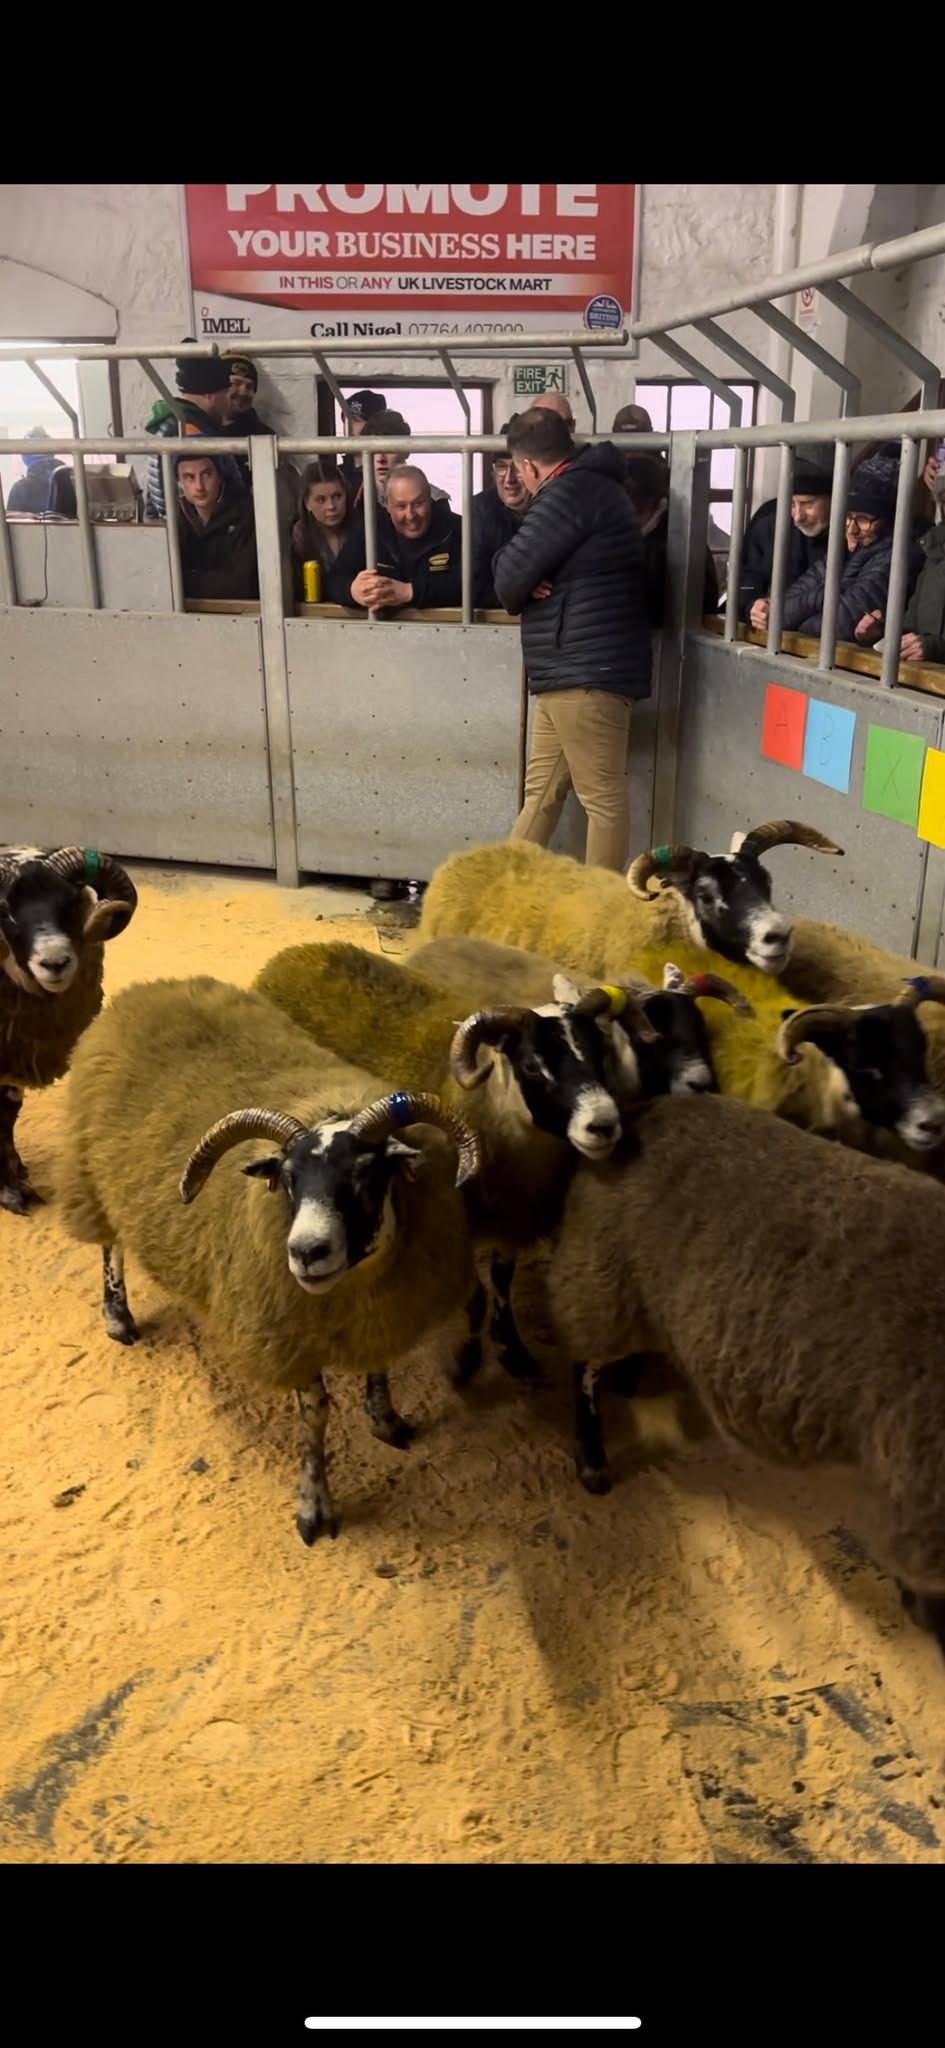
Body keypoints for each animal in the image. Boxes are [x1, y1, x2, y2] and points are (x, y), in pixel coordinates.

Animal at [0, 839, 137, 1204]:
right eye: (5, 910)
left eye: (70, 902)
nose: (55, 962)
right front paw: (8, 1192)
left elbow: (7, 1115)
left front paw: (18, 1177)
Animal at [57, 974, 485, 1540]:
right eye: (287, 1179)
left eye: (366, 1175)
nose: (306, 1252)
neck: (357, 1290)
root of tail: (149, 987)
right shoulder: (285, 1332)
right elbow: (316, 1415)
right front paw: (314, 1506)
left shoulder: (383, 1311)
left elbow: (379, 1364)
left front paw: (385, 1418)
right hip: (95, 1167)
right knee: (112, 1244)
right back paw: (117, 1315)